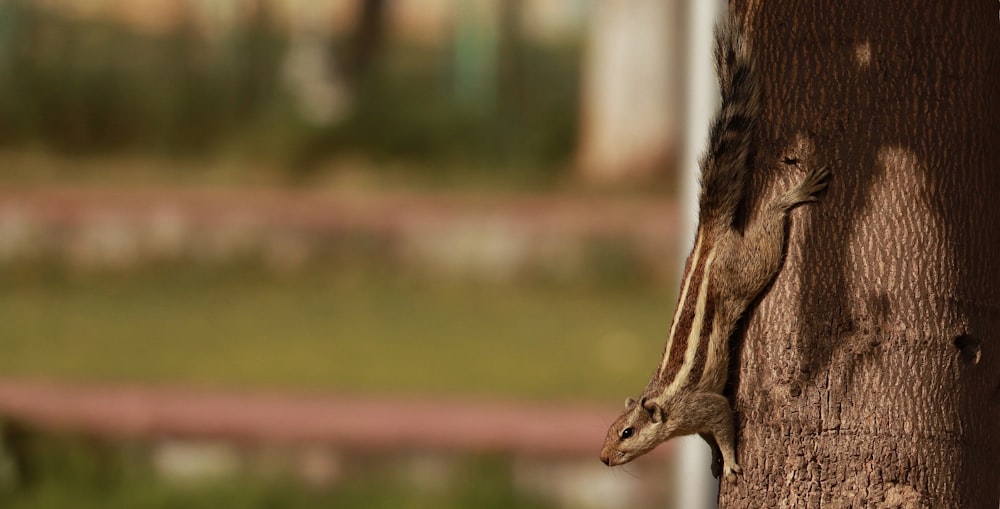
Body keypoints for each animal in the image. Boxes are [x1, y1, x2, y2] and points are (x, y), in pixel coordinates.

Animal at [600, 12, 828, 480]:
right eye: (610, 429)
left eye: (627, 432)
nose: (604, 457)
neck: (667, 408)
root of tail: (707, 236)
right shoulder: (697, 418)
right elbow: (708, 438)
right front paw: (712, 461)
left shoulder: (707, 405)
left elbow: (724, 423)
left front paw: (732, 460)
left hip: (748, 267)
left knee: (770, 227)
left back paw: (790, 196)